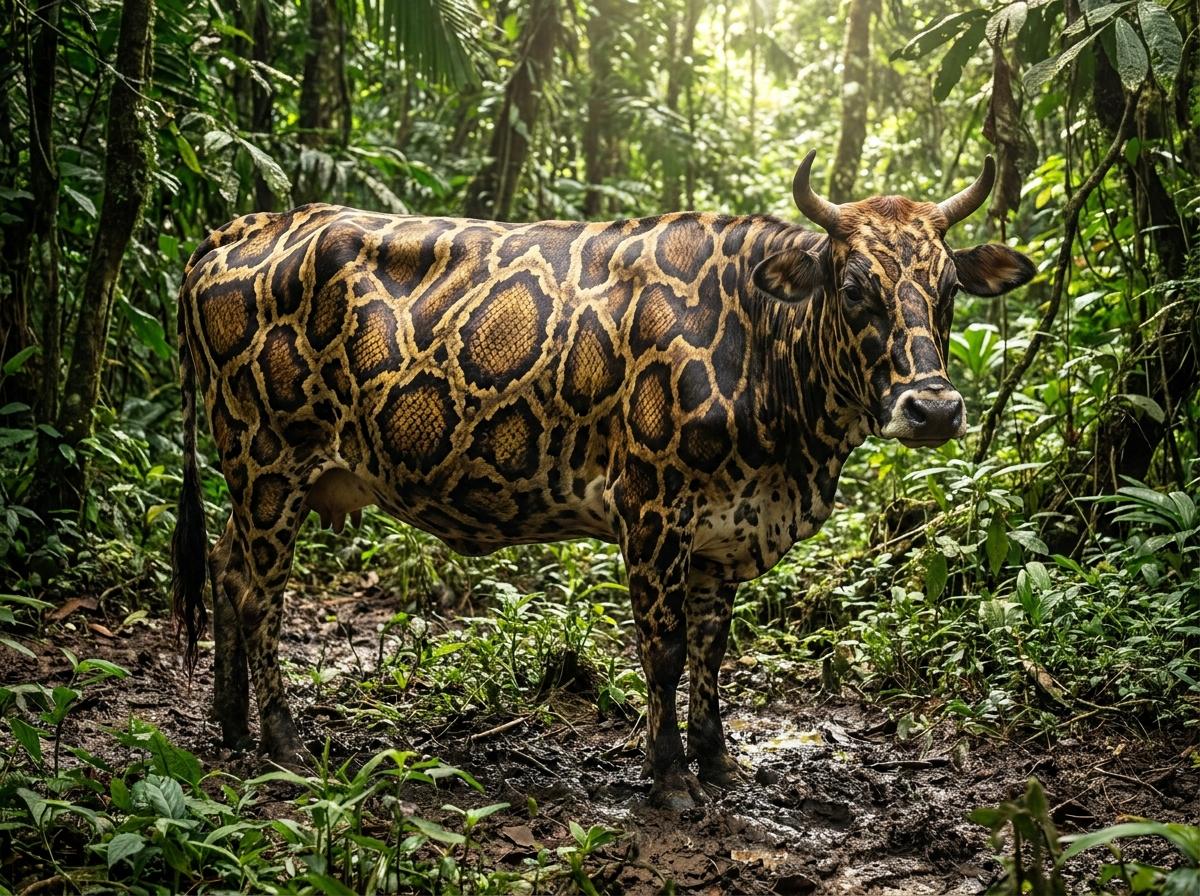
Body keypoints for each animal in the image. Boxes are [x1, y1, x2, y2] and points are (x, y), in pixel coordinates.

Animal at [172, 151, 1034, 808]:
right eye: (854, 289)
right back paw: (282, 739)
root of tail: (233, 229)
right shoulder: (651, 507)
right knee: (259, 593)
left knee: (224, 565)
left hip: (262, 475)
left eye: (948, 289)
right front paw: (669, 778)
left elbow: (714, 648)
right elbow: (666, 650)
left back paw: (231, 724)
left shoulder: (726, 527)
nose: (933, 408)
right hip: (269, 458)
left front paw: (716, 761)